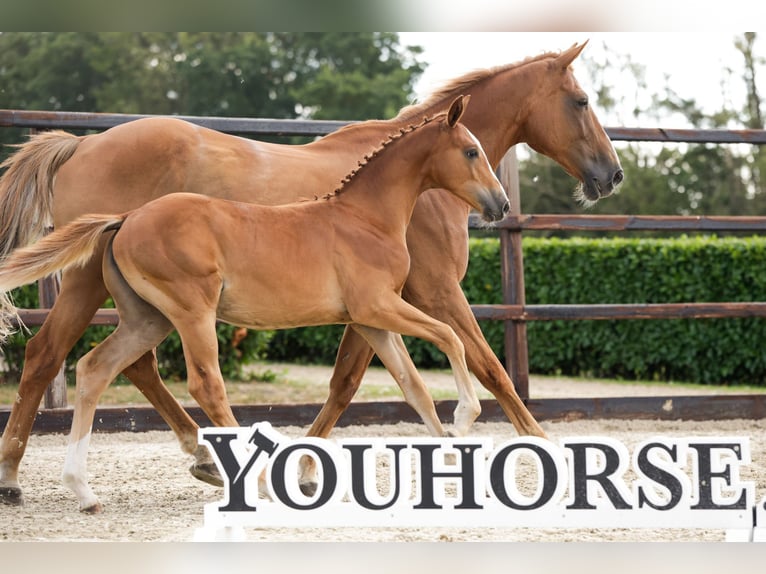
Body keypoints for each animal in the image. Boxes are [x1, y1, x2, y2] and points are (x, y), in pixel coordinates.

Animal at [0, 42, 623, 506]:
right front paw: (544, 449)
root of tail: (80, 143)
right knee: (57, 356)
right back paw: (16, 476)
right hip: (106, 288)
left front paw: (305, 467)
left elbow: (358, 383)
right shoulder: (433, 292)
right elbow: (488, 367)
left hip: (138, 305)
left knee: (114, 365)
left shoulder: (376, 306)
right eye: (581, 100)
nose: (612, 175)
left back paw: (193, 460)